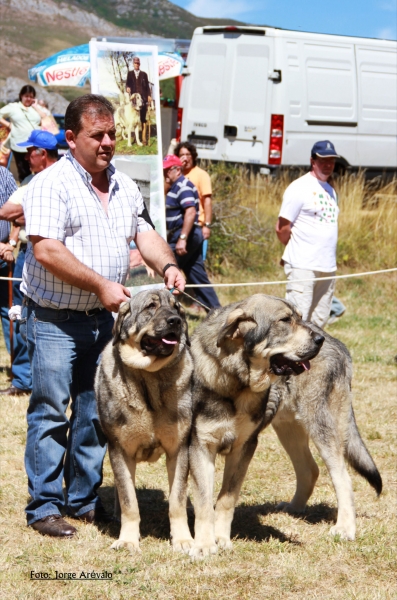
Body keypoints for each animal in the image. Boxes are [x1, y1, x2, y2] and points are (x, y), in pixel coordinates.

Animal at [96, 288, 195, 556]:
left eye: (177, 307)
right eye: (151, 306)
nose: (176, 321)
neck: (149, 378)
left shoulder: (179, 450)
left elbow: (177, 499)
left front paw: (183, 540)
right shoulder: (120, 450)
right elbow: (129, 500)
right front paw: (127, 540)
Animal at [187, 294, 324, 556]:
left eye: (300, 317)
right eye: (285, 320)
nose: (320, 339)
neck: (238, 382)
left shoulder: (244, 446)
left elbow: (226, 499)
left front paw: (221, 538)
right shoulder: (201, 447)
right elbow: (204, 501)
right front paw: (205, 544)